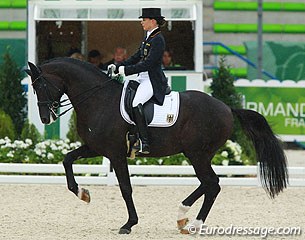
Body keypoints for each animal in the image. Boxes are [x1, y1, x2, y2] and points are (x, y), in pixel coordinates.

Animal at [25, 57, 286, 234]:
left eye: (40, 85)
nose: (46, 118)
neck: (98, 100)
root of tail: (227, 108)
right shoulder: (96, 148)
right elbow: (67, 159)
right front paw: (83, 193)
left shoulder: (115, 154)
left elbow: (126, 188)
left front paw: (129, 224)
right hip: (197, 154)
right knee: (209, 184)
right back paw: (183, 217)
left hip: (197, 154)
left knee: (212, 184)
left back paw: (192, 222)